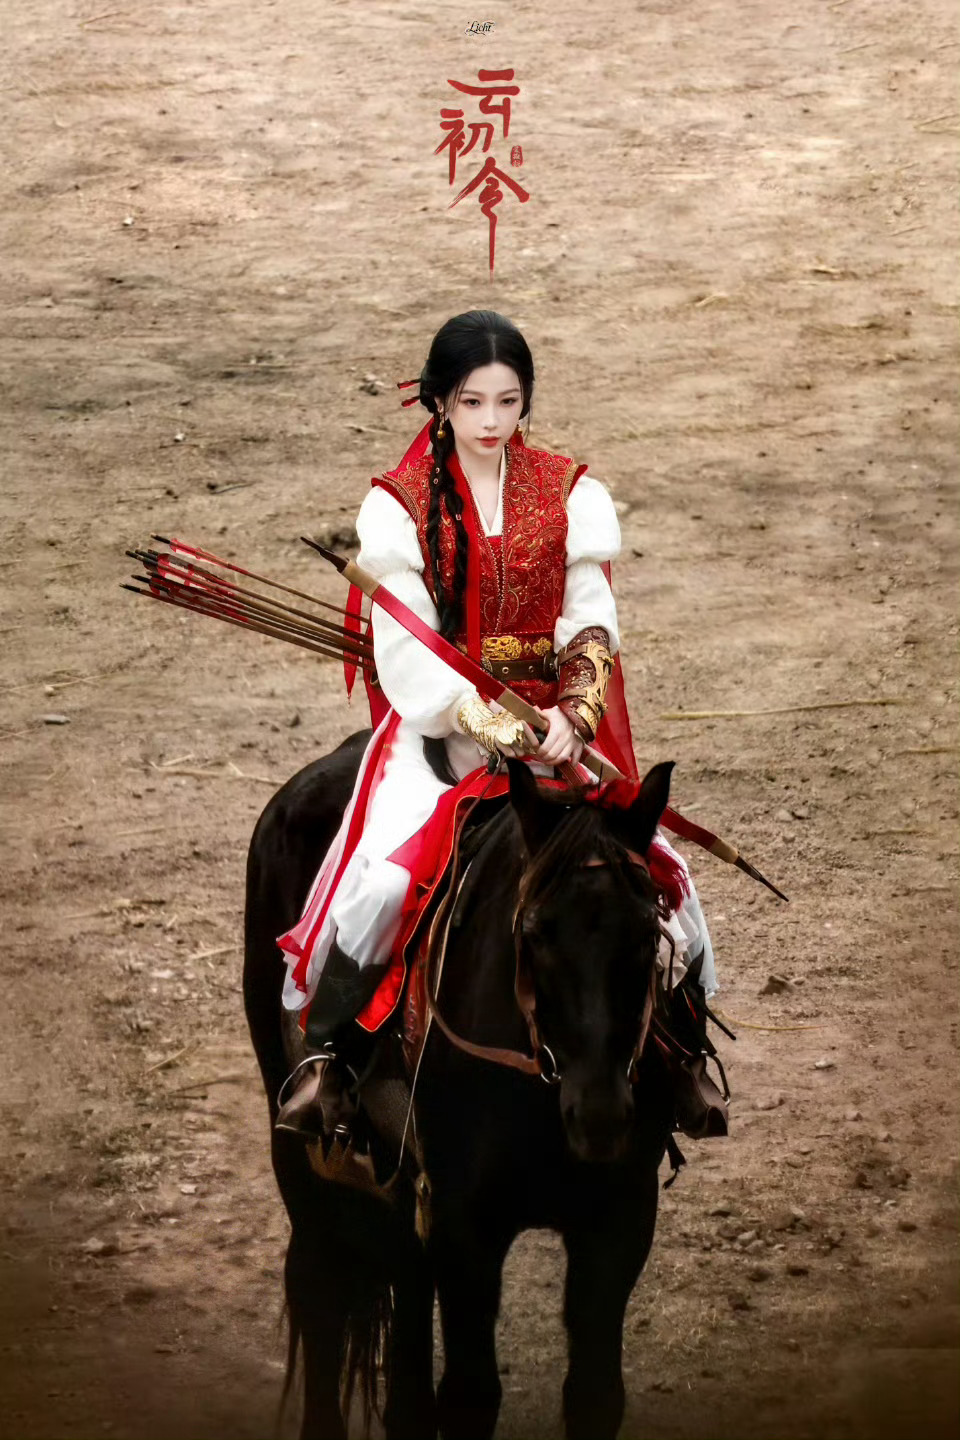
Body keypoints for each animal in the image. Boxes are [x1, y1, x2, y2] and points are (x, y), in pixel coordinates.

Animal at [243, 729, 679, 1440]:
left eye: (647, 931)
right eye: (534, 932)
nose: (601, 1116)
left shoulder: (619, 1217)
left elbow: (594, 1393)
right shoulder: (465, 1227)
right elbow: (472, 1395)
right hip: (296, 1147)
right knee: (319, 1284)